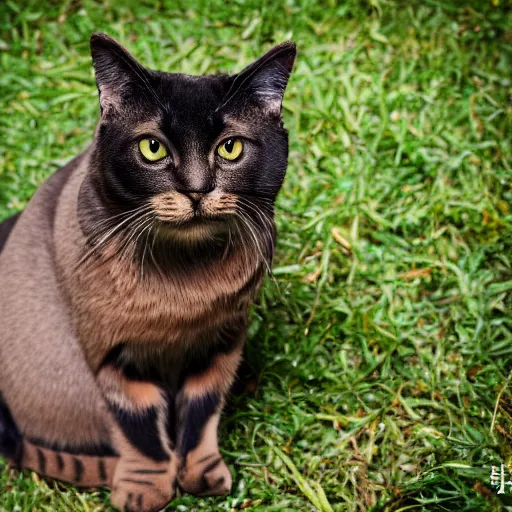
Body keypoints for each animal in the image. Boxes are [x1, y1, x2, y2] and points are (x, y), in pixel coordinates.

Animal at [0, 33, 296, 512]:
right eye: (152, 148)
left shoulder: (221, 343)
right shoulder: (114, 356)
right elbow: (140, 432)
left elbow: (200, 415)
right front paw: (147, 491)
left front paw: (201, 475)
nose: (196, 189)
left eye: (230, 147)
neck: (186, 280)